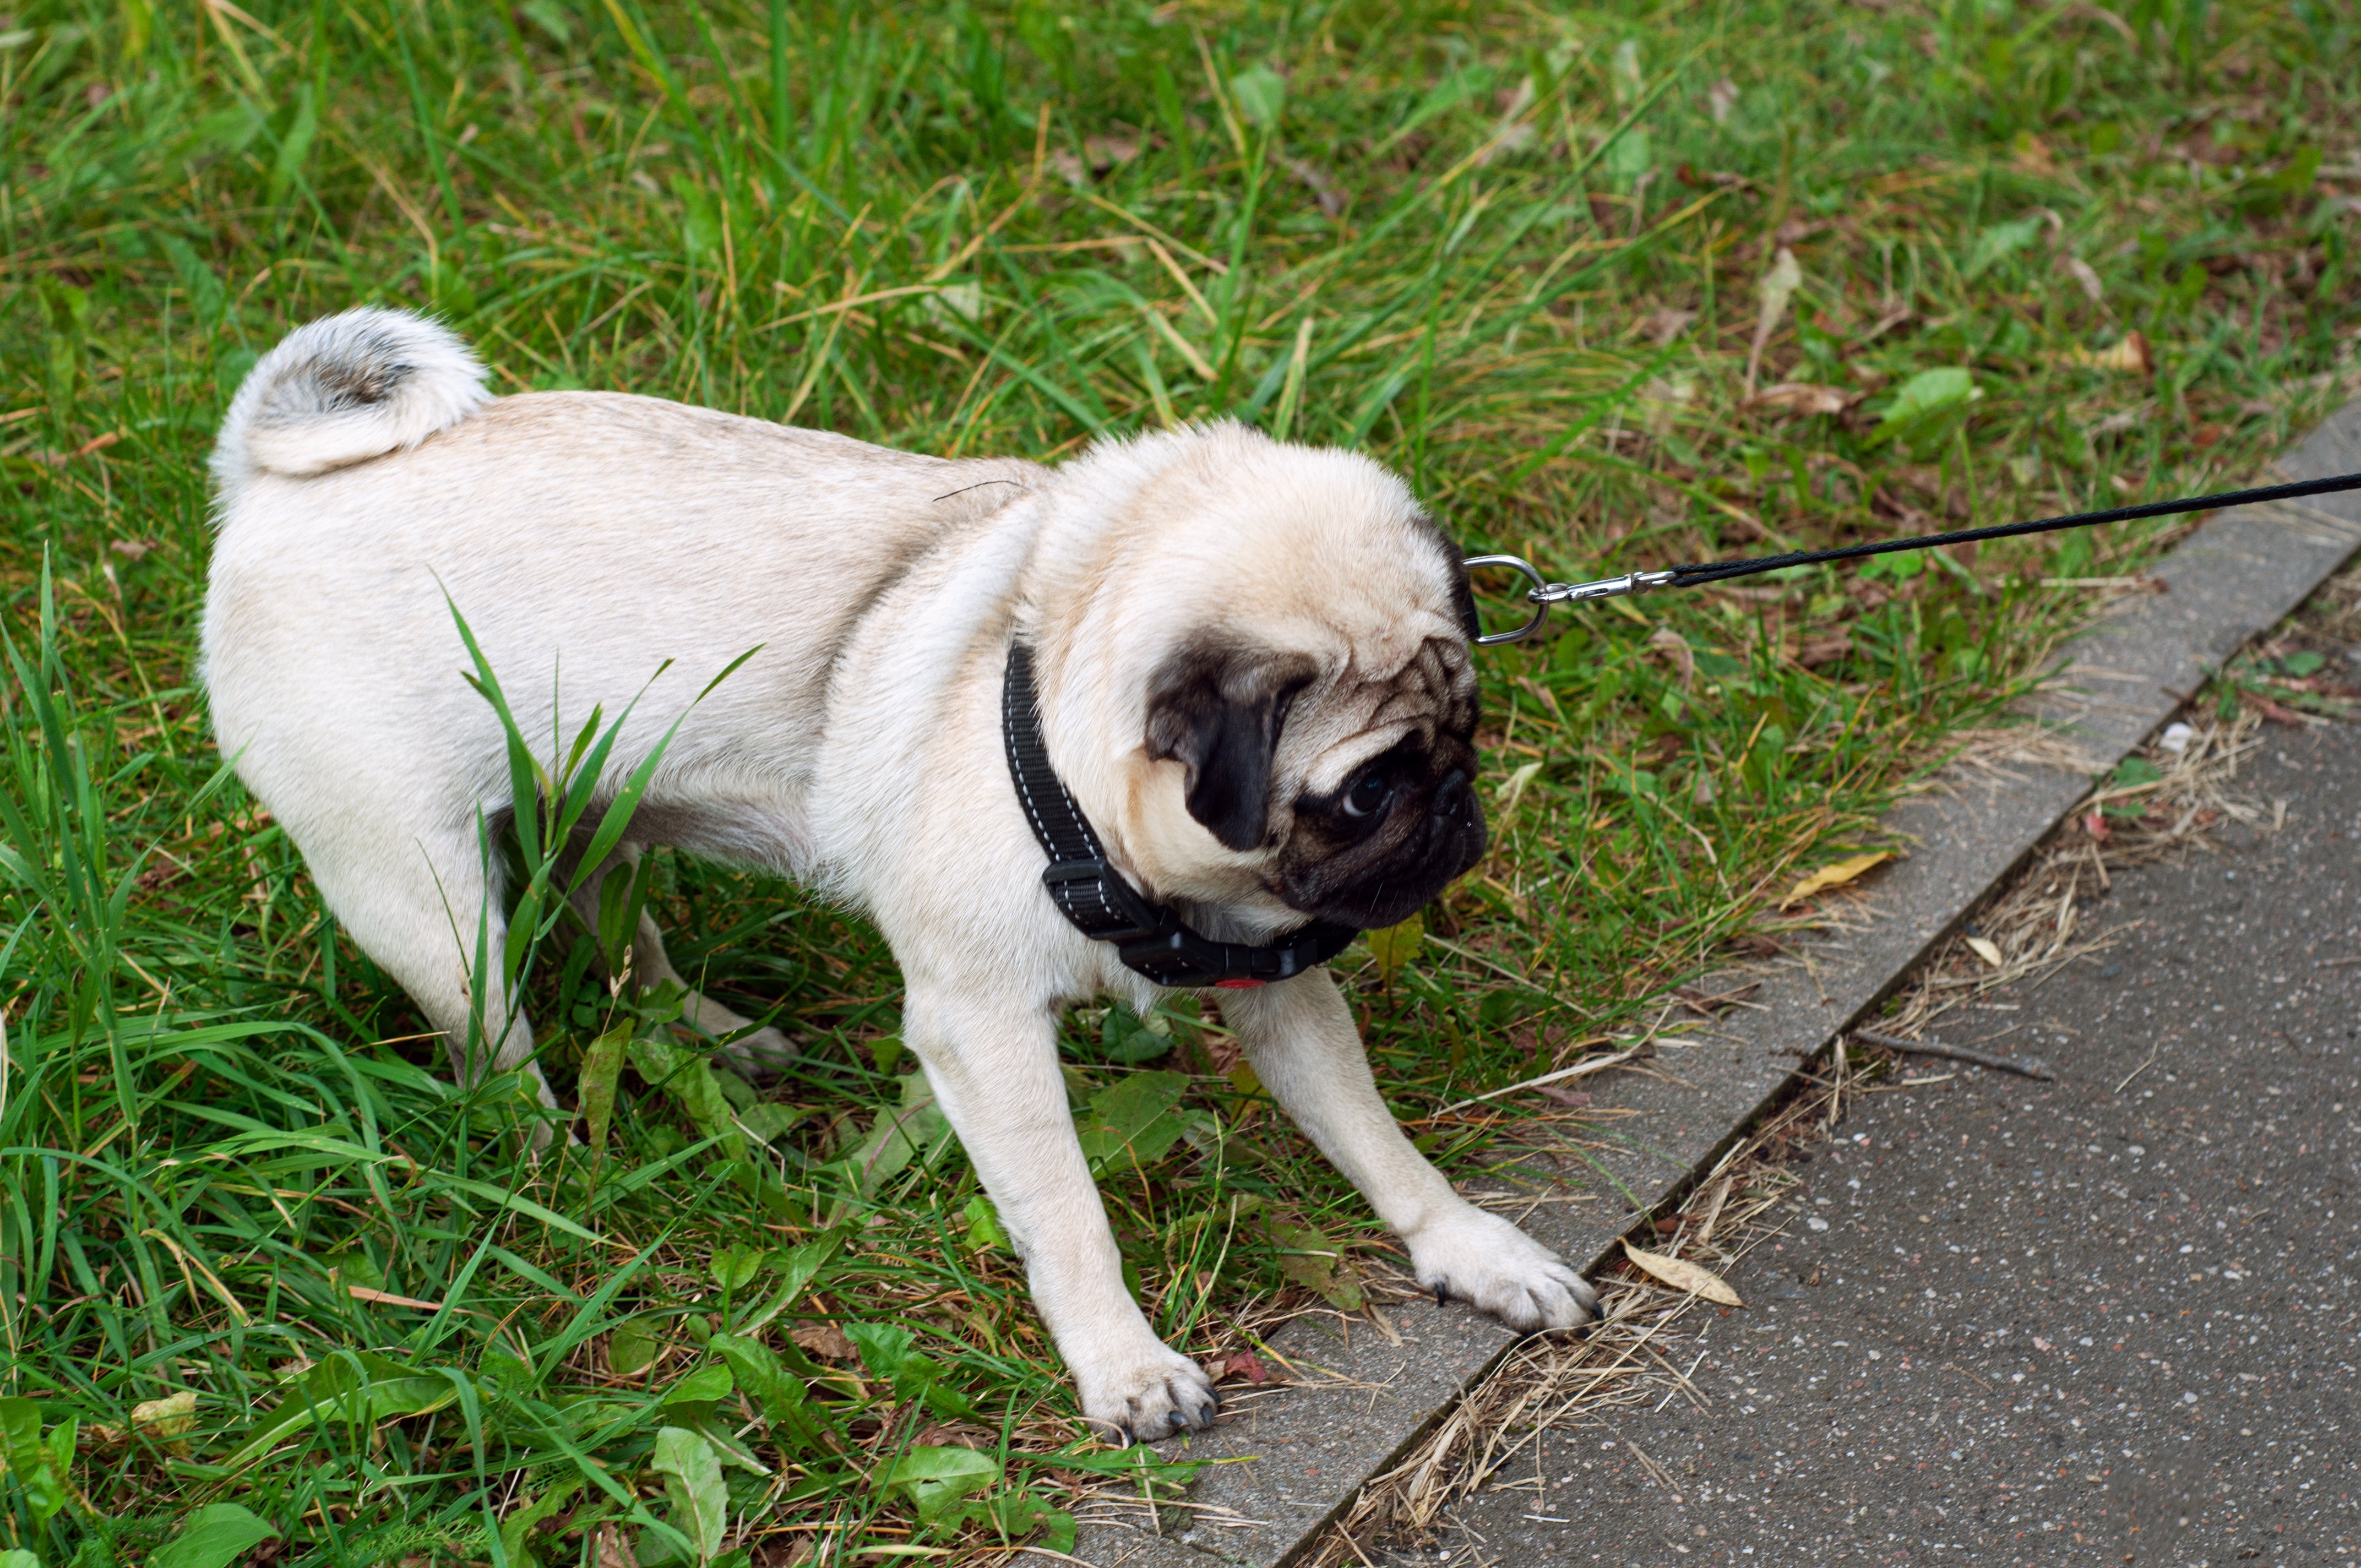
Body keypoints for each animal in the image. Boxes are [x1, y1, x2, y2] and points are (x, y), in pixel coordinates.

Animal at [203, 309, 1605, 1445]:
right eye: (1364, 790)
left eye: (1469, 726)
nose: (1452, 813)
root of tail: (266, 483)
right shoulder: (981, 1031)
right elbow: (1067, 1210)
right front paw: (1123, 1363)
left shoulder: (1275, 975)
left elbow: (1370, 1133)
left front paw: (1467, 1246)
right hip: (425, 899)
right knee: (499, 1043)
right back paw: (551, 1170)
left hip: (602, 803)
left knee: (621, 941)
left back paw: (706, 1035)